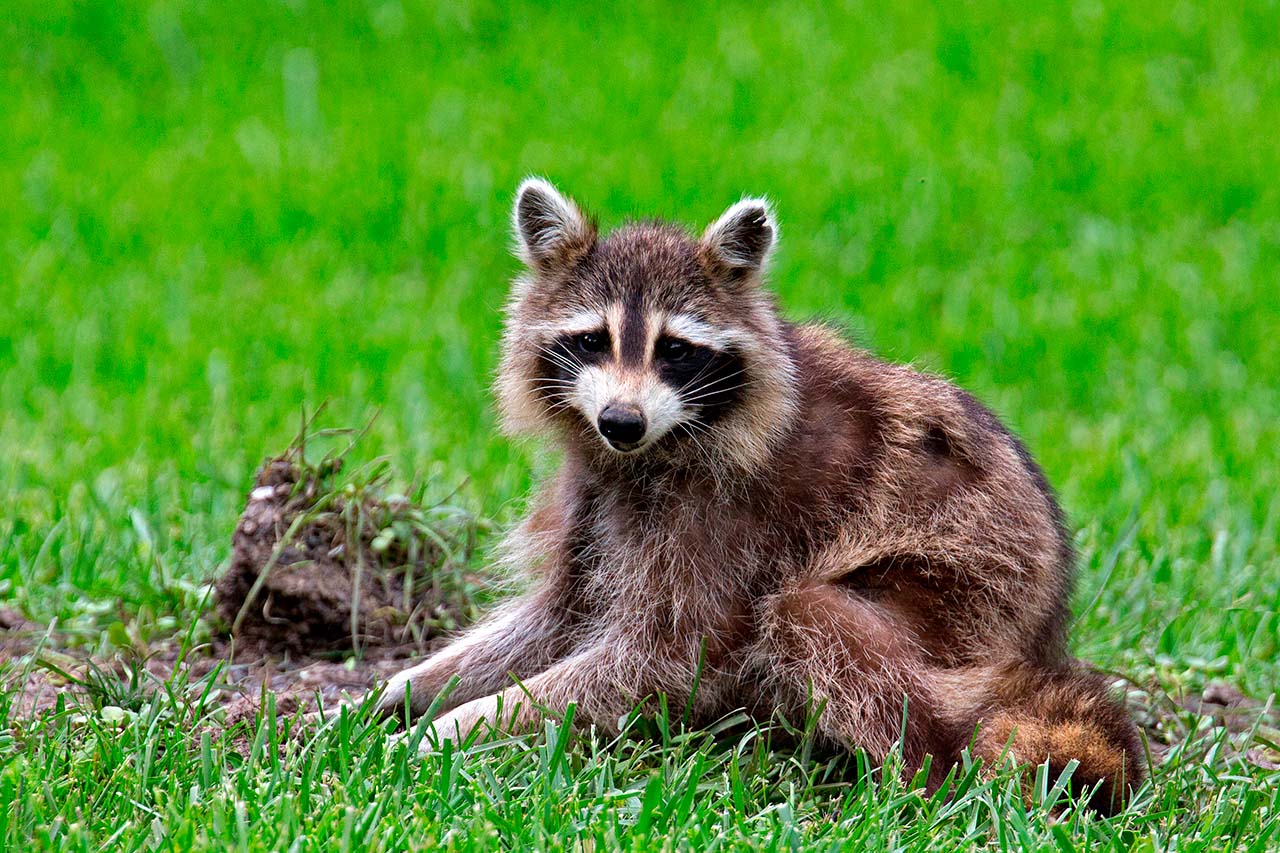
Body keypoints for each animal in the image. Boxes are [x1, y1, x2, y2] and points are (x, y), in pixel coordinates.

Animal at [373, 178, 1146, 809]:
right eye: (592, 340)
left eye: (674, 350)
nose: (621, 421)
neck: (652, 450)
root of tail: (1044, 637)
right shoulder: (593, 495)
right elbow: (555, 617)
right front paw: (405, 691)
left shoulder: (723, 518)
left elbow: (666, 653)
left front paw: (451, 729)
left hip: (964, 600)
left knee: (814, 616)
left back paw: (921, 777)